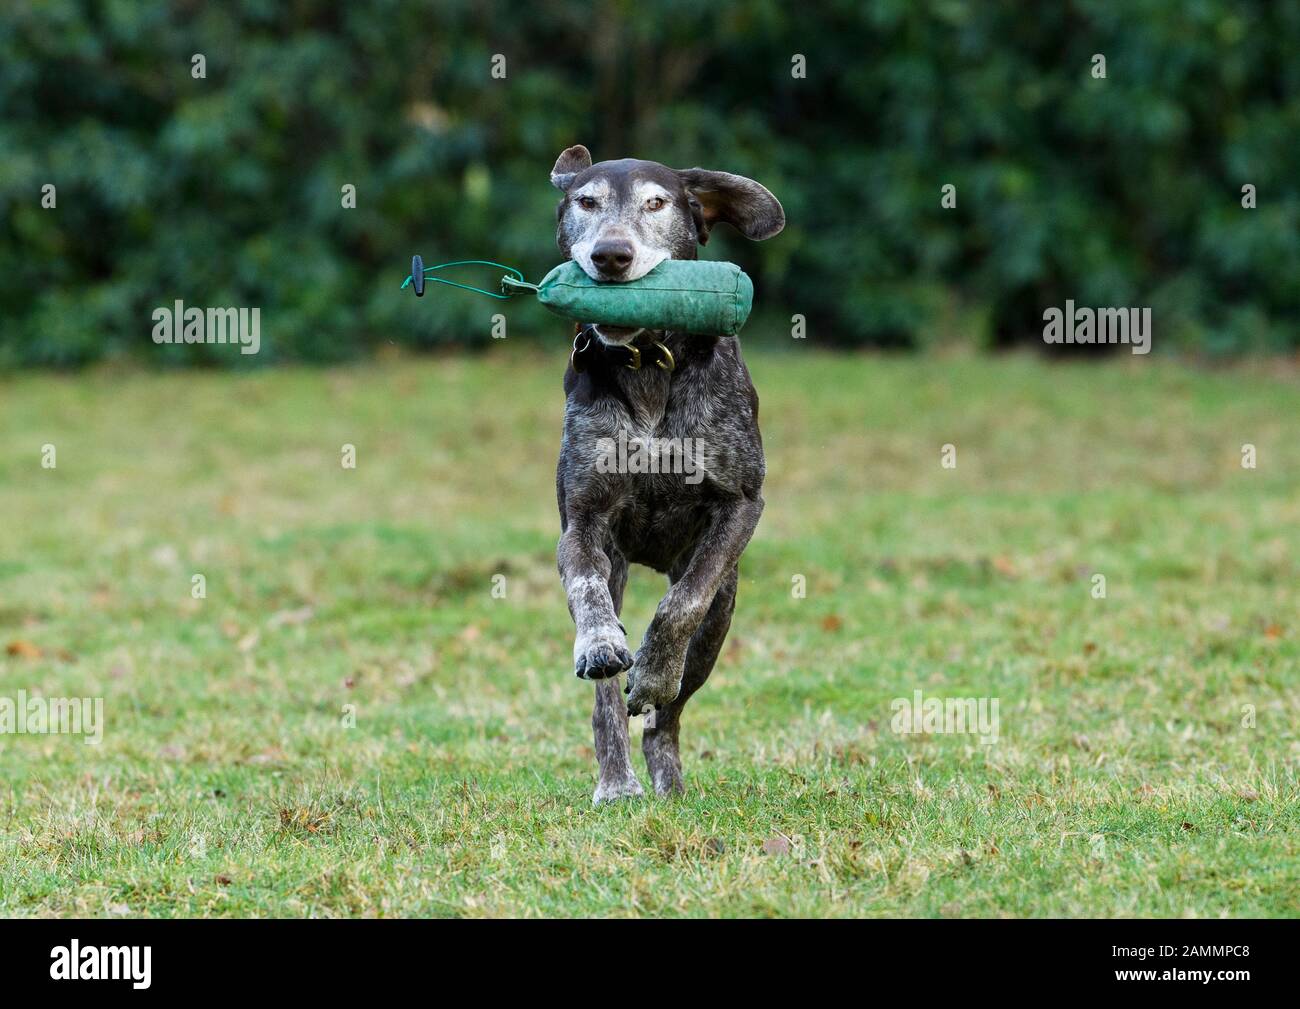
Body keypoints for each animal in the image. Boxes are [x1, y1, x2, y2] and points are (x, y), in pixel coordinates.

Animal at [546, 143, 780, 806]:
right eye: (585, 201)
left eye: (657, 203)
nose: (611, 255)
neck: (648, 361)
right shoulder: (582, 523)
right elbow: (585, 587)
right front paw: (603, 645)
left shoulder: (741, 505)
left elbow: (682, 602)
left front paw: (653, 672)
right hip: (621, 571)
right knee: (606, 702)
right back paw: (617, 781)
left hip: (721, 619)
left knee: (665, 717)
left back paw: (665, 767)